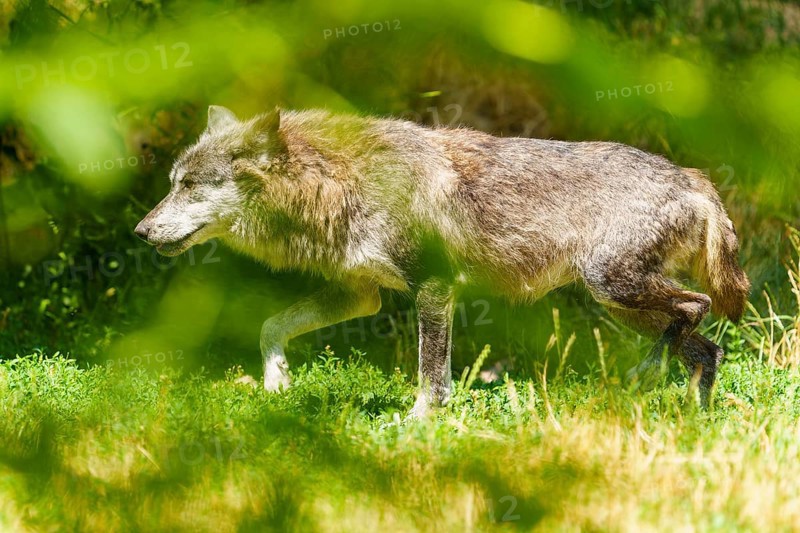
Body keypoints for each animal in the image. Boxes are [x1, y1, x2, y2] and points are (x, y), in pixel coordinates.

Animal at [135, 105, 750, 415]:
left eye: (190, 186)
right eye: (173, 183)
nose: (140, 231)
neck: (338, 182)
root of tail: (692, 178)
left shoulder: (434, 286)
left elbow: (432, 378)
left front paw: (416, 426)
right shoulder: (362, 294)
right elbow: (270, 326)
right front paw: (275, 383)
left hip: (614, 289)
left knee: (695, 308)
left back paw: (655, 376)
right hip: (621, 303)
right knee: (709, 349)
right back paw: (692, 423)